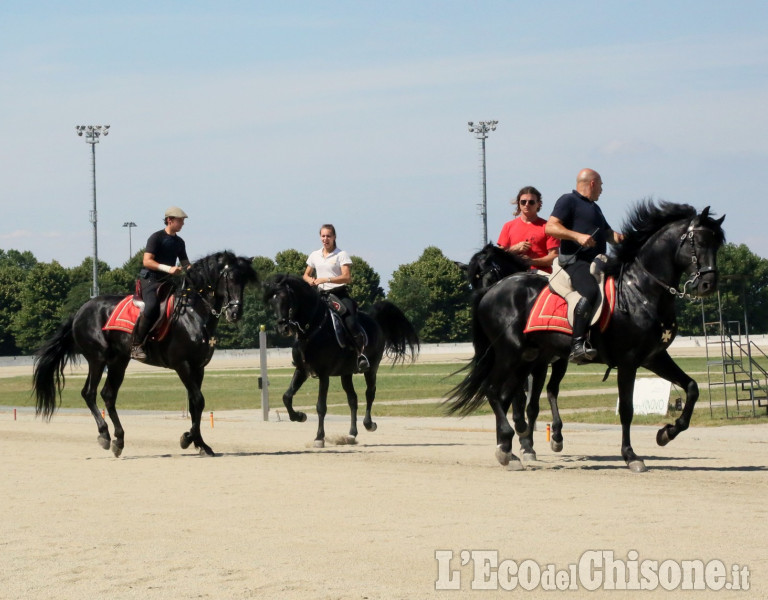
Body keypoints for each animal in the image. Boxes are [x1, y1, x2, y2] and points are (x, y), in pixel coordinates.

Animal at [32, 252, 258, 454]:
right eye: (231, 278)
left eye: (245, 281)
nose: (235, 313)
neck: (194, 314)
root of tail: (80, 310)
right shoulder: (183, 366)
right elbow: (199, 400)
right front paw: (187, 438)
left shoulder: (198, 368)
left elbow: (195, 404)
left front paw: (201, 444)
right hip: (97, 359)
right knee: (89, 393)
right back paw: (105, 434)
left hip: (118, 361)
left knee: (108, 395)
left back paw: (119, 440)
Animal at [264, 274, 420, 448]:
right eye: (272, 301)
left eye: (285, 298)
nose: (283, 328)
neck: (312, 330)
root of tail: (374, 321)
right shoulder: (302, 370)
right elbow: (287, 396)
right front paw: (299, 416)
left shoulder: (323, 374)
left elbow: (321, 406)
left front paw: (319, 437)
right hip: (346, 374)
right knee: (353, 399)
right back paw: (352, 434)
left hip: (371, 369)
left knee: (369, 393)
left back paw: (369, 424)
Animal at [448, 203, 724, 474]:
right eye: (698, 242)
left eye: (717, 244)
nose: (708, 284)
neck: (639, 290)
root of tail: (492, 291)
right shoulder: (628, 362)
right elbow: (627, 409)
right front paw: (631, 456)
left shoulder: (654, 357)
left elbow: (692, 388)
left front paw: (667, 433)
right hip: (510, 354)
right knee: (492, 389)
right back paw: (509, 442)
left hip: (526, 358)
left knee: (505, 397)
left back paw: (507, 451)